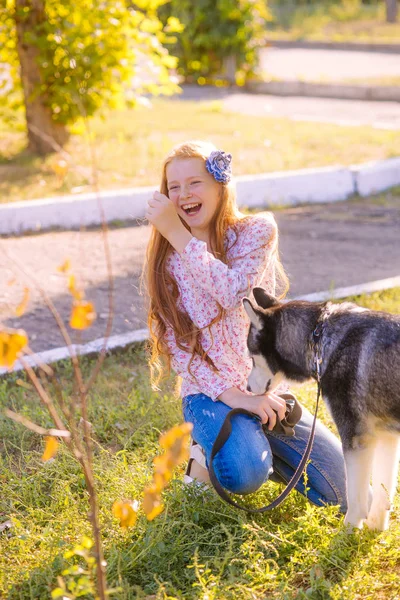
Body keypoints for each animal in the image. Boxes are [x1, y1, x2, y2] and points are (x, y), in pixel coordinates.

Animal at [244, 288, 400, 532]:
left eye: (251, 357)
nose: (248, 388)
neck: (319, 340)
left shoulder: (356, 438)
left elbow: (356, 498)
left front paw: (347, 534)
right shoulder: (386, 437)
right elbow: (383, 493)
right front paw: (374, 532)